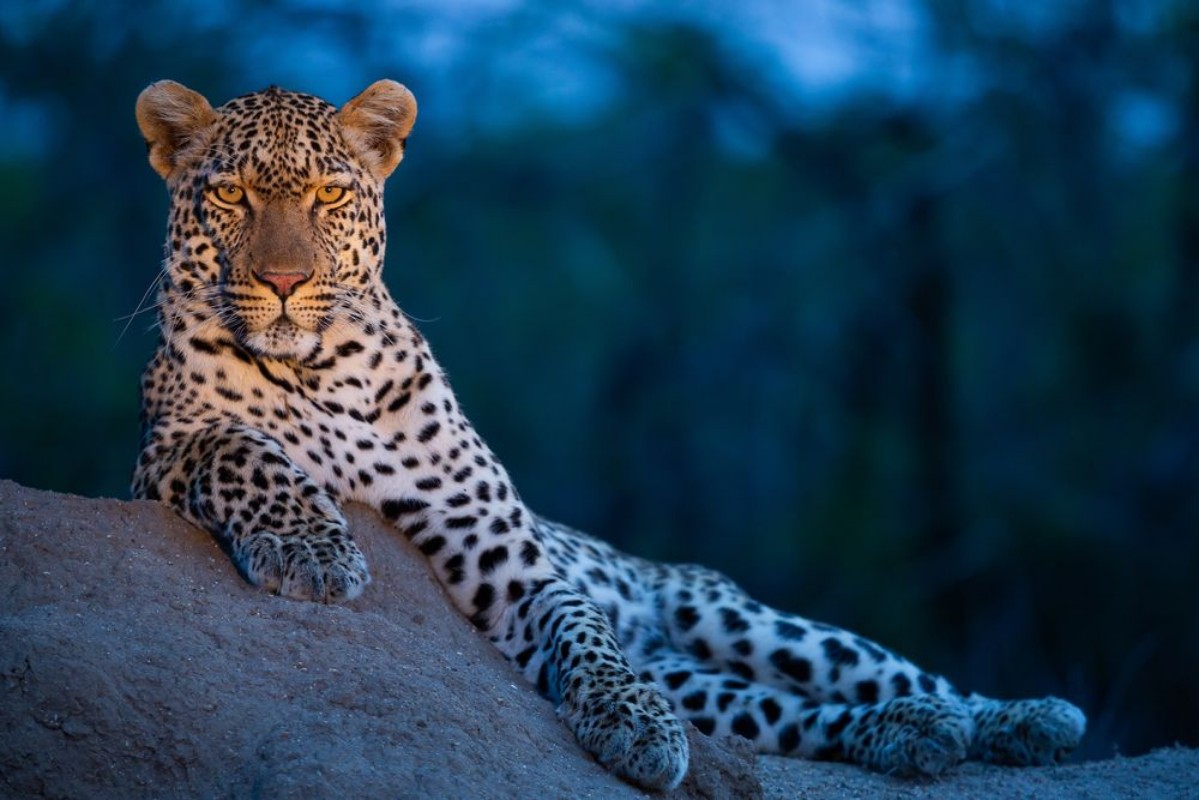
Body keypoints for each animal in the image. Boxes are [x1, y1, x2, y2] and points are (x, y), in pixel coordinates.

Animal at [131, 79, 1086, 791]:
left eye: (328, 195)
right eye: (230, 195)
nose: (284, 281)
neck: (321, 372)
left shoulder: (510, 563)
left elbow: (585, 631)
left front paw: (632, 724)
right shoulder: (155, 460)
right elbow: (238, 446)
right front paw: (312, 550)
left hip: (735, 616)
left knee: (890, 671)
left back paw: (1016, 718)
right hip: (708, 680)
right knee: (799, 714)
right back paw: (909, 733)